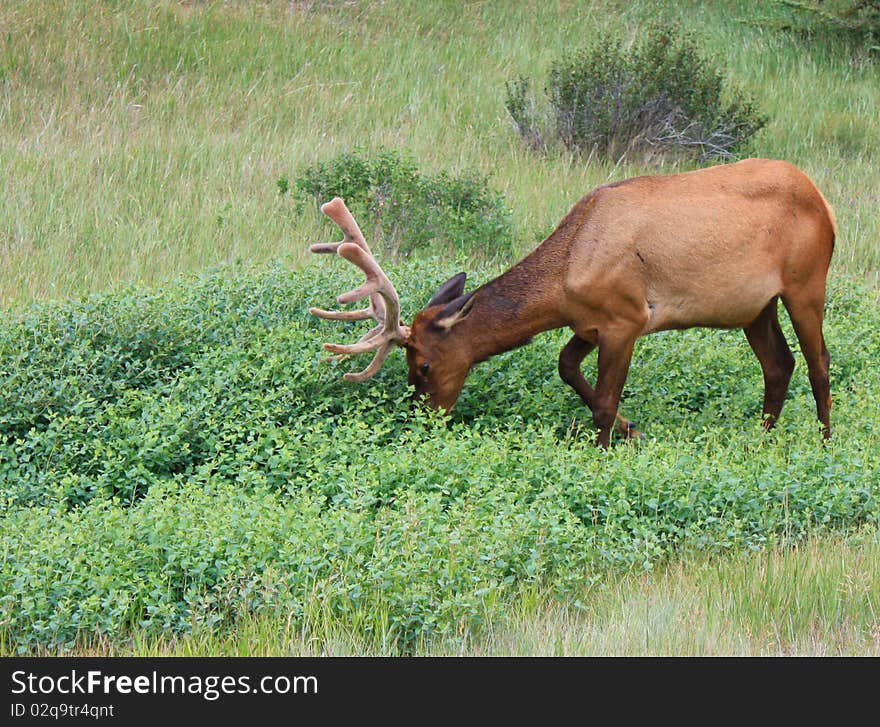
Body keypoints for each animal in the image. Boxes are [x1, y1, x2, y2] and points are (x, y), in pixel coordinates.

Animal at [310, 156, 840, 446]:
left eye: (422, 365)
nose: (424, 418)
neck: (564, 276)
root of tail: (825, 201)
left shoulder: (628, 318)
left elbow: (604, 401)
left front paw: (604, 449)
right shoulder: (587, 323)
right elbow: (566, 367)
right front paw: (633, 430)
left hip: (807, 282)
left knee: (819, 362)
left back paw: (824, 442)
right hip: (755, 307)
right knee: (779, 364)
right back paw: (762, 439)